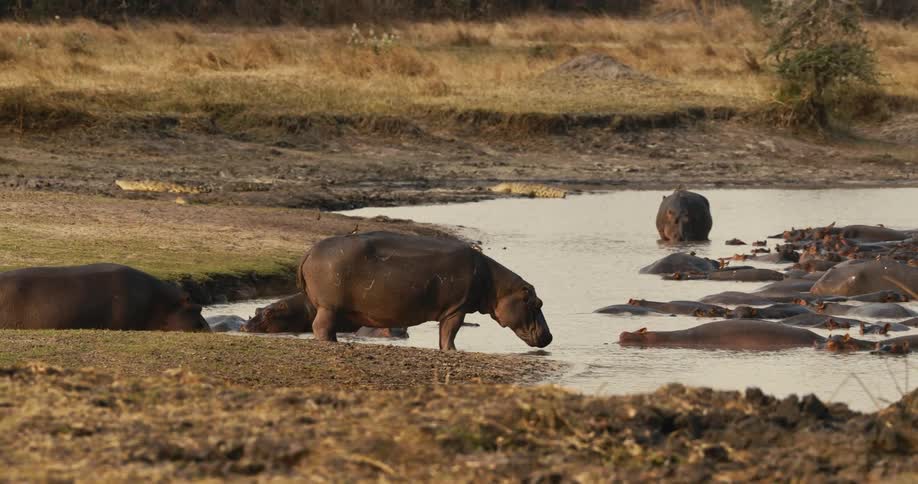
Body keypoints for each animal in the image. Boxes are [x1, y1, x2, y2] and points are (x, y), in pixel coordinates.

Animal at [298, 232, 552, 350]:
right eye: (536, 303)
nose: (550, 337)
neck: (497, 286)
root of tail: (310, 251)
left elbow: (443, 335)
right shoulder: (457, 308)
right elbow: (450, 332)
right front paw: (454, 350)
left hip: (331, 308)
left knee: (325, 328)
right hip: (329, 307)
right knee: (320, 326)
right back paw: (331, 343)